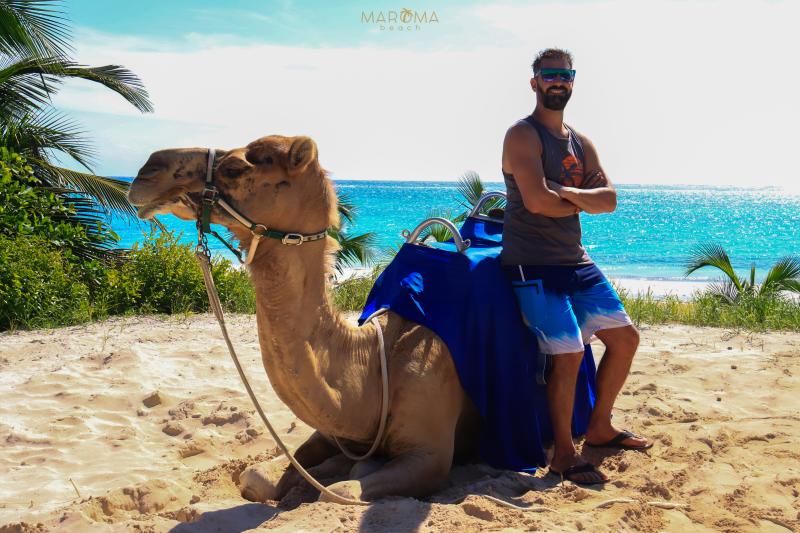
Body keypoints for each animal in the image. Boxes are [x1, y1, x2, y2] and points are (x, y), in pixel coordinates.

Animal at [128, 135, 482, 503]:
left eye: (235, 167)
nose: (147, 171)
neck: (374, 363)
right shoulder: (328, 433)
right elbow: (259, 475)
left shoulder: (430, 455)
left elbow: (339, 491)